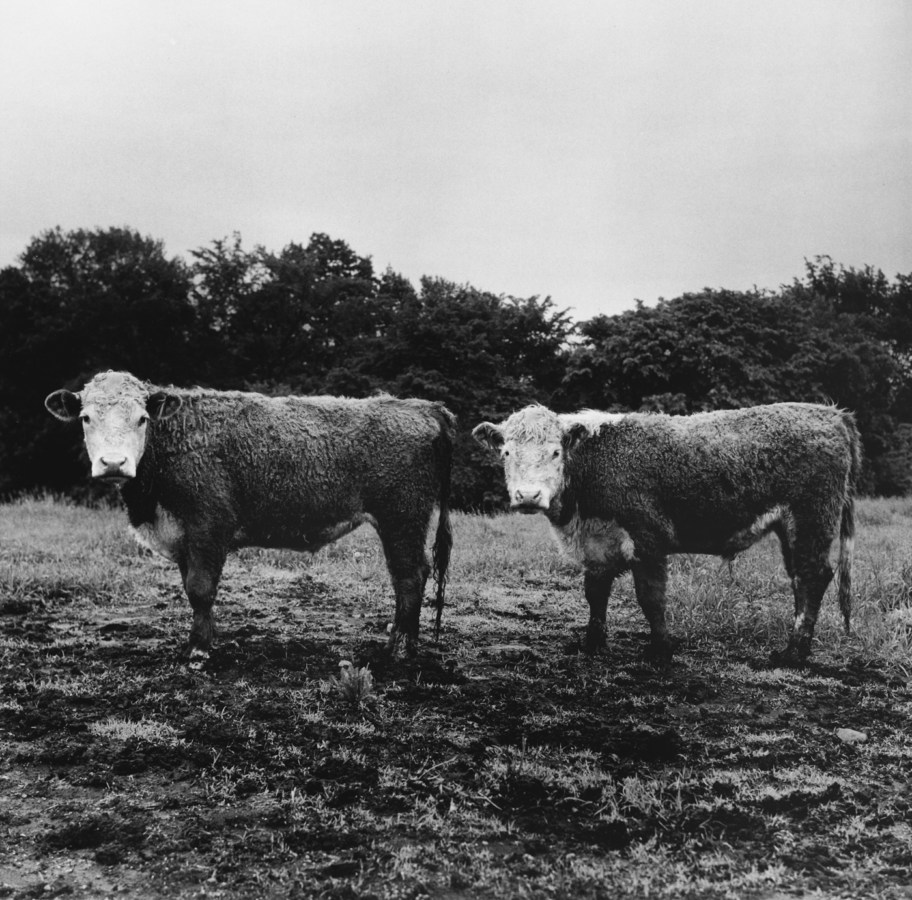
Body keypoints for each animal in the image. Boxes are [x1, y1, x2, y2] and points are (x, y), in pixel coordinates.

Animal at [46, 370, 452, 664]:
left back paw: (399, 648)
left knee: (409, 576)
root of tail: (423, 407)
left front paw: (199, 651)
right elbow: (192, 590)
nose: (114, 463)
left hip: (402, 517)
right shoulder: (185, 537)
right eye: (85, 417)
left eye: (142, 418)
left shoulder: (209, 525)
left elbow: (201, 587)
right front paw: (201, 640)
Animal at [478, 404, 864, 664]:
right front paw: (593, 643)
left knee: (813, 576)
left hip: (813, 517)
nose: (528, 496)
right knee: (800, 578)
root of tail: (831, 413)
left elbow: (651, 598)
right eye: (507, 452)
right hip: (792, 527)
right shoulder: (596, 545)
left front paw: (660, 649)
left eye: (556, 452)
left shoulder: (648, 539)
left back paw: (795, 652)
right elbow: (595, 595)